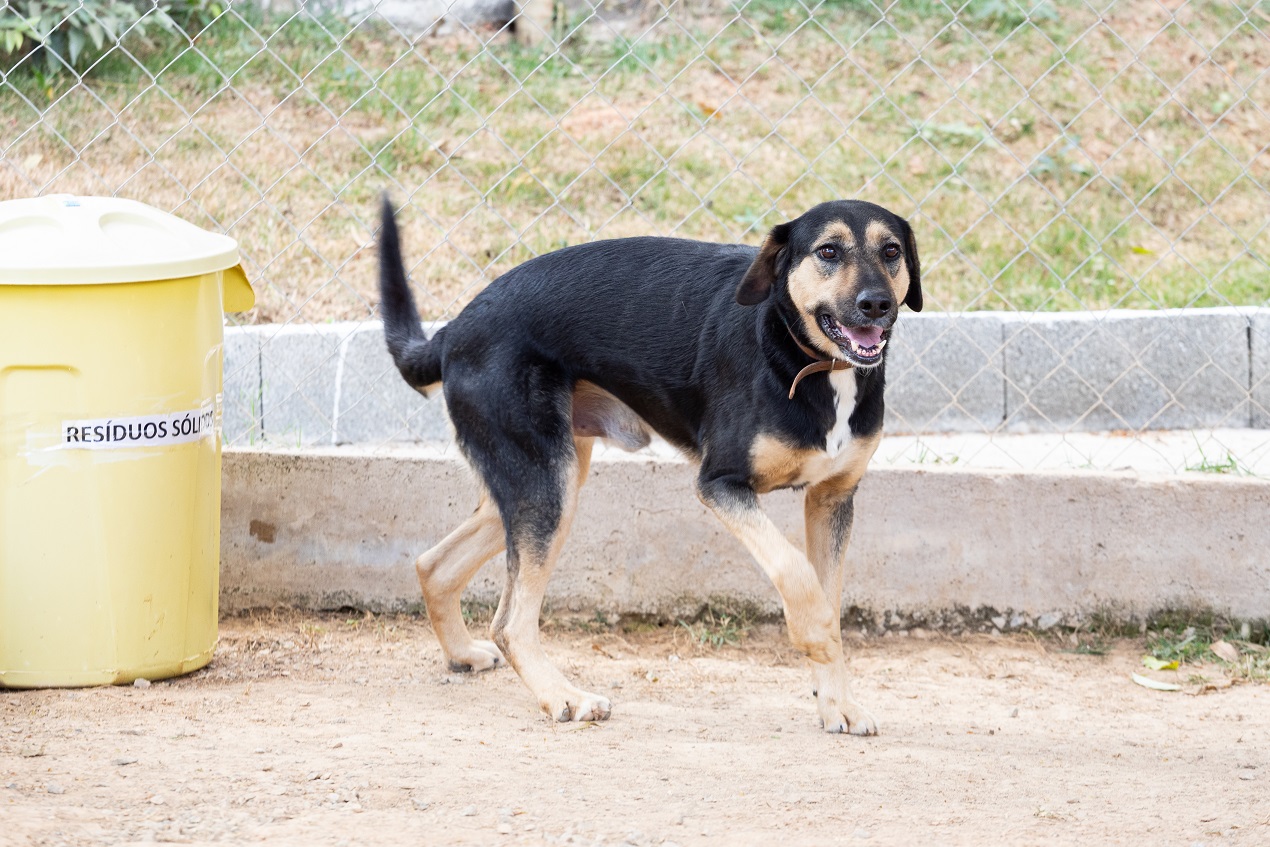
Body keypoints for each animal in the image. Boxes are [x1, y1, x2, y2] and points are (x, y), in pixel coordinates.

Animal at [375, 200, 924, 736]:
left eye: (891, 251)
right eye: (828, 251)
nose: (877, 303)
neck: (799, 353)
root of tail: (453, 331)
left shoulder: (832, 499)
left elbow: (826, 592)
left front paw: (837, 703)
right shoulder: (720, 484)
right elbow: (796, 573)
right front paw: (815, 638)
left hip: (538, 481)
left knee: (434, 564)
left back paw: (462, 654)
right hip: (544, 485)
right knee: (509, 622)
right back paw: (564, 697)